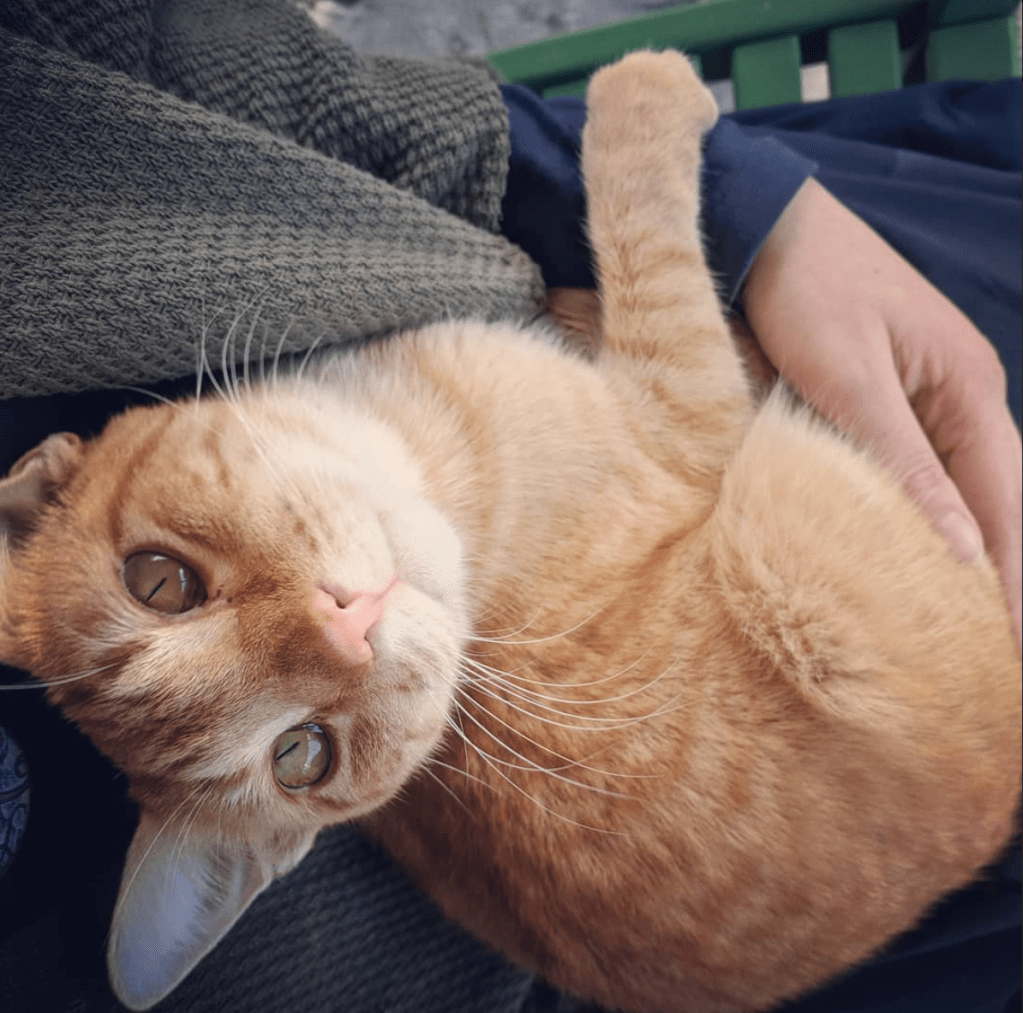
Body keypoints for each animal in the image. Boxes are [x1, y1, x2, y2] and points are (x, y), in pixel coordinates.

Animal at [0, 51, 1019, 1013]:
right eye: (303, 754)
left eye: (159, 581)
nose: (345, 622)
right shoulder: (686, 410)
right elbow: (649, 246)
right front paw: (648, 87)